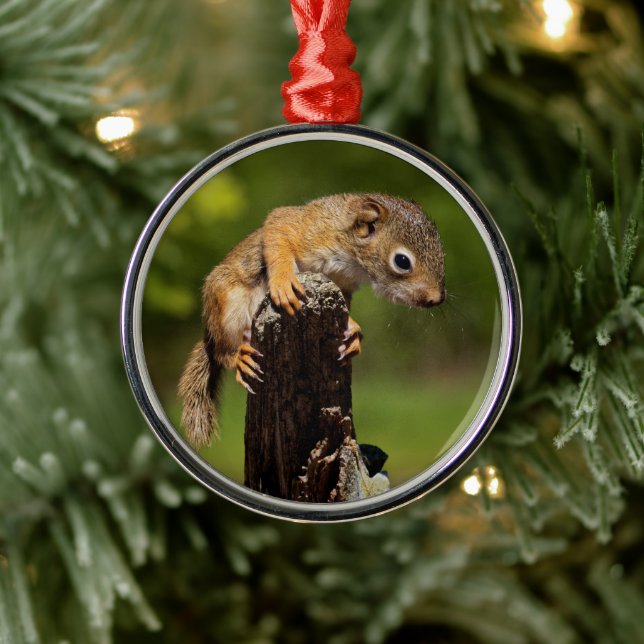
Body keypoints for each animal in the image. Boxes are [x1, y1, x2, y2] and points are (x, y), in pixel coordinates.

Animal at [178, 193, 445, 448]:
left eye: (442, 253)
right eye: (402, 261)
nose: (437, 299)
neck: (352, 256)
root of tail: (209, 333)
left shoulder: (343, 283)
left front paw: (352, 332)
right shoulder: (307, 227)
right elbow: (278, 230)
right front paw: (284, 281)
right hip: (226, 306)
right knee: (222, 351)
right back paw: (238, 356)